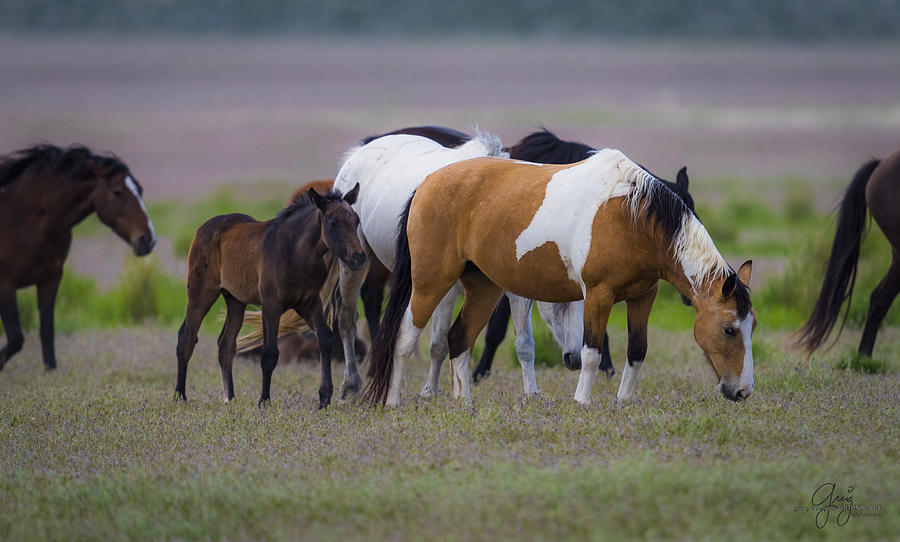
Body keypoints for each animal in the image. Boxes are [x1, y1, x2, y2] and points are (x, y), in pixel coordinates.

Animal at [0, 144, 156, 372]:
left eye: (141, 190)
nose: (148, 239)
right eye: (117, 192)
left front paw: (50, 373)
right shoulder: (6, 284)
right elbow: (16, 338)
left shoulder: (50, 278)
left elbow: (46, 333)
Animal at [174, 185, 364, 410]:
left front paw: (324, 398)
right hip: (201, 292)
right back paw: (180, 396)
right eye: (333, 222)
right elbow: (270, 353)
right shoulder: (271, 305)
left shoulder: (309, 302)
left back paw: (230, 398)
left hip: (236, 300)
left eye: (357, 220)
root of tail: (203, 227)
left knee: (226, 343)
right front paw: (264, 401)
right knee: (187, 337)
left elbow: (325, 338)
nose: (358, 257)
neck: (294, 252)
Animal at [332, 133, 584, 402]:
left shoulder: (517, 290)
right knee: (347, 318)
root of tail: (361, 151)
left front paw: (531, 395)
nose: (575, 358)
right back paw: (352, 383)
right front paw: (429, 393)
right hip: (354, 263)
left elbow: (525, 345)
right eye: (561, 301)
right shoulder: (448, 290)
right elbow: (439, 344)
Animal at [362, 149, 756, 408]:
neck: (630, 216)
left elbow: (637, 350)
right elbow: (592, 352)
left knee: (459, 339)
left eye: (751, 326)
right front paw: (582, 402)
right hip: (431, 282)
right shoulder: (598, 296)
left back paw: (464, 404)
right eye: (729, 329)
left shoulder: (642, 297)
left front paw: (624, 401)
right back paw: (393, 401)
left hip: (484, 288)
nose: (742, 391)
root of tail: (427, 182)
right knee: (405, 337)